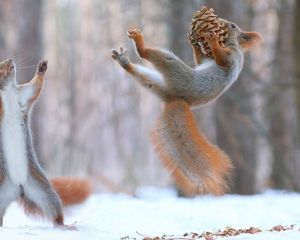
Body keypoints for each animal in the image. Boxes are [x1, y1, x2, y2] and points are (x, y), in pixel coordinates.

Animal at [0, 59, 91, 228]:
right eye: (0, 65)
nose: (10, 60)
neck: (7, 91)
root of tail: (18, 189)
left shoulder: (23, 95)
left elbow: (34, 87)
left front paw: (41, 68)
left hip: (42, 189)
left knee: (53, 208)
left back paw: (63, 226)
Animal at [111, 18, 262, 195]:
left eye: (233, 26)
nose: (222, 22)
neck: (231, 43)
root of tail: (177, 99)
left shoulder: (232, 57)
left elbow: (222, 59)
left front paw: (212, 40)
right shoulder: (207, 60)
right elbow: (200, 60)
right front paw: (195, 44)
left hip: (176, 71)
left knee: (148, 55)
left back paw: (140, 44)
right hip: (156, 84)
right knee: (142, 76)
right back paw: (124, 61)